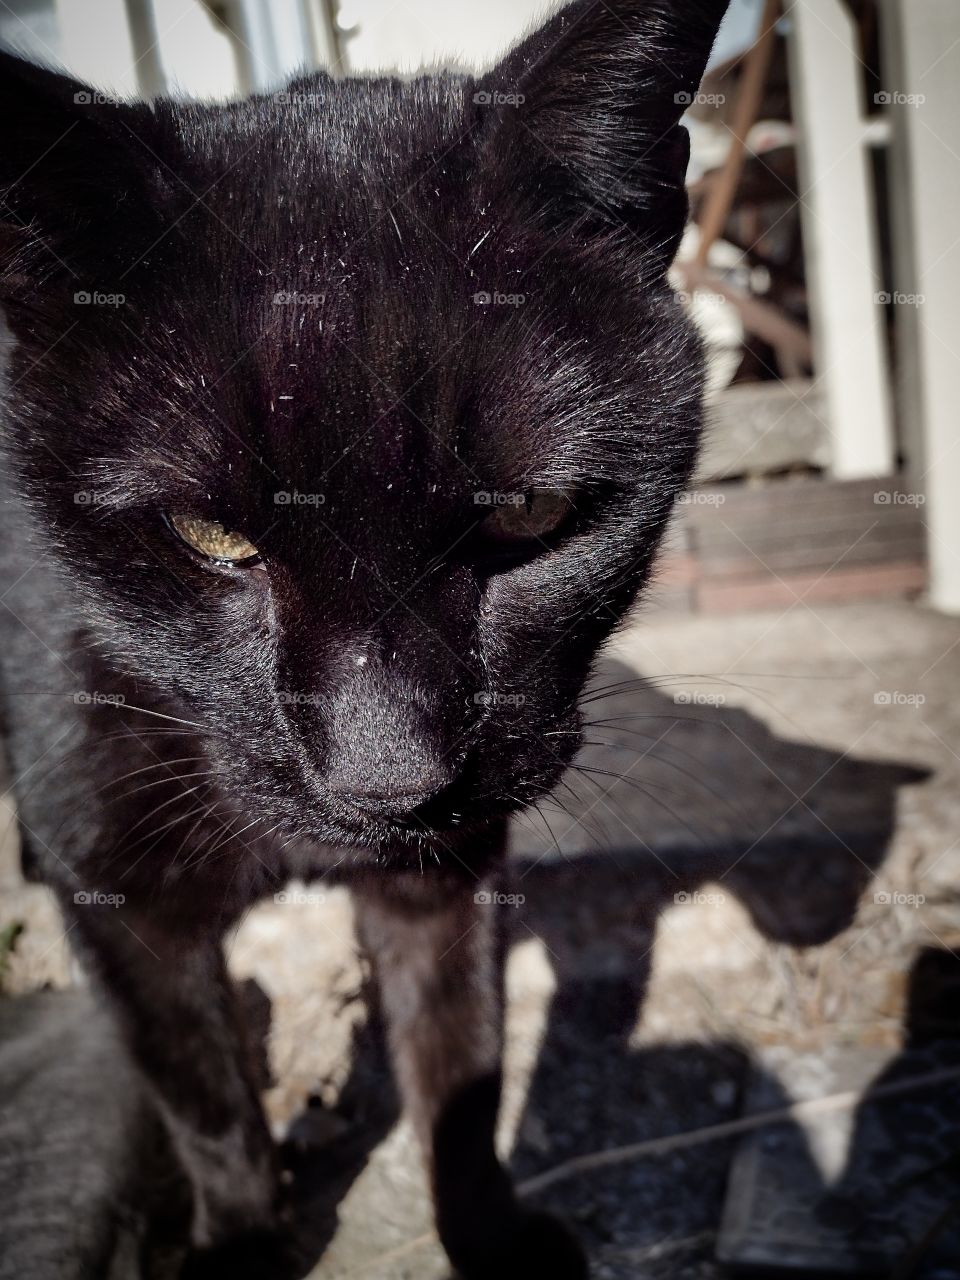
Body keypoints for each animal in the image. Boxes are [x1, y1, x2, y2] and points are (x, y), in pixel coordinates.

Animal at [0, 5, 732, 1274]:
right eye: (210, 534)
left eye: (531, 514)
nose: (387, 779)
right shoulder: (122, 899)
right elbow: (205, 1099)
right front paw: (241, 1241)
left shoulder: (449, 868)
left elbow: (463, 1059)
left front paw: (486, 1233)